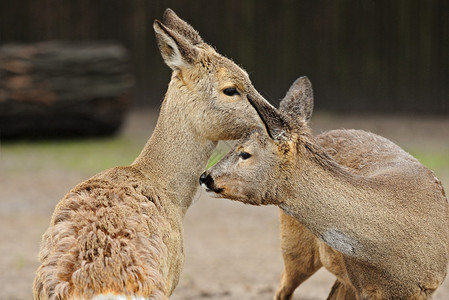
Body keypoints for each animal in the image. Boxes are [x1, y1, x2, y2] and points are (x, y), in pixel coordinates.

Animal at [201, 77, 448, 298]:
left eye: (244, 153)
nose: (205, 176)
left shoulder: (427, 286)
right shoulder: (363, 286)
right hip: (294, 246)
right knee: (282, 289)